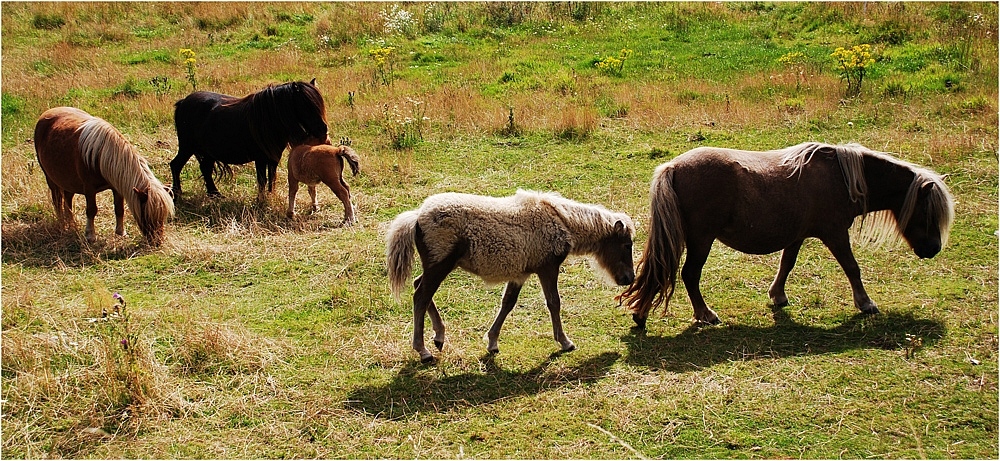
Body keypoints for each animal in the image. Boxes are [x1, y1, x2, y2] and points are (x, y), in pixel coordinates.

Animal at [34, 107, 176, 244]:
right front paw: (90, 236)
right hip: (51, 179)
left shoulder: (117, 186)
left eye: (163, 216)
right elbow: (92, 210)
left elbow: (119, 209)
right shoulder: (89, 190)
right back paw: (63, 225)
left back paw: (72, 225)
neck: (100, 155)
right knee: (57, 201)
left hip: (68, 181)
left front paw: (121, 232)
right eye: (146, 215)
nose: (157, 242)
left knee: (68, 201)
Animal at [386, 189, 636, 362]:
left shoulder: (520, 275)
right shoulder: (547, 268)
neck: (561, 221)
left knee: (420, 287)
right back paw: (423, 350)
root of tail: (417, 216)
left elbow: (508, 304)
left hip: (436, 267)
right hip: (440, 265)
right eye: (626, 245)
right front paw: (565, 342)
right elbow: (554, 303)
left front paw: (492, 342)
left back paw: (439, 337)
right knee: (421, 296)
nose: (629, 278)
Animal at [620, 140, 956, 328]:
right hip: (701, 240)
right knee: (690, 275)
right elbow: (852, 267)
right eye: (927, 212)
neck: (841, 177)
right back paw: (705, 315)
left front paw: (778, 296)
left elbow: (787, 265)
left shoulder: (798, 235)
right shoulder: (834, 233)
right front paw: (865, 303)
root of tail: (673, 167)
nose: (933, 249)